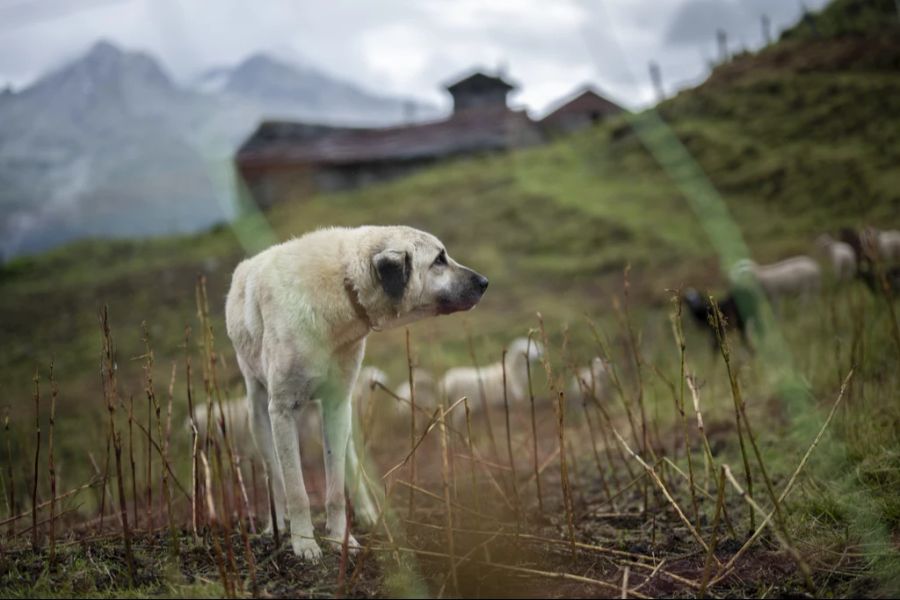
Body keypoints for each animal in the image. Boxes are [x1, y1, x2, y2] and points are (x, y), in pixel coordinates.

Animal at [229, 225, 488, 556]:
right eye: (438, 260)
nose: (485, 282)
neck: (343, 284)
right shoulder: (283, 411)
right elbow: (297, 489)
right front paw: (304, 544)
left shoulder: (337, 405)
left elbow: (336, 489)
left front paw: (341, 538)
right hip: (259, 415)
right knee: (274, 473)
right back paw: (277, 525)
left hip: (342, 419)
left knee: (349, 464)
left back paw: (365, 512)